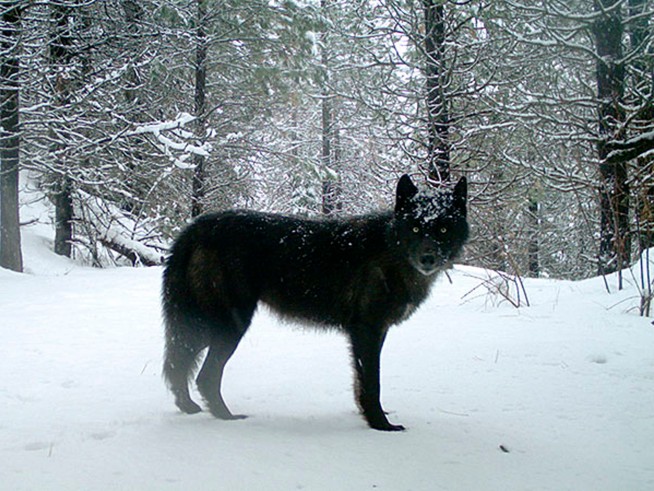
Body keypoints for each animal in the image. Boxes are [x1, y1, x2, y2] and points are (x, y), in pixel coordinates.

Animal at [162, 174, 468, 431]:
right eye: (415, 227)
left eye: (443, 229)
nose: (428, 258)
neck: (391, 250)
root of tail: (195, 228)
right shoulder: (366, 331)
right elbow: (372, 382)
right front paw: (380, 425)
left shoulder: (375, 332)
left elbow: (360, 383)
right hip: (228, 326)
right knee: (203, 375)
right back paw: (226, 417)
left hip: (205, 326)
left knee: (179, 363)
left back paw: (189, 407)